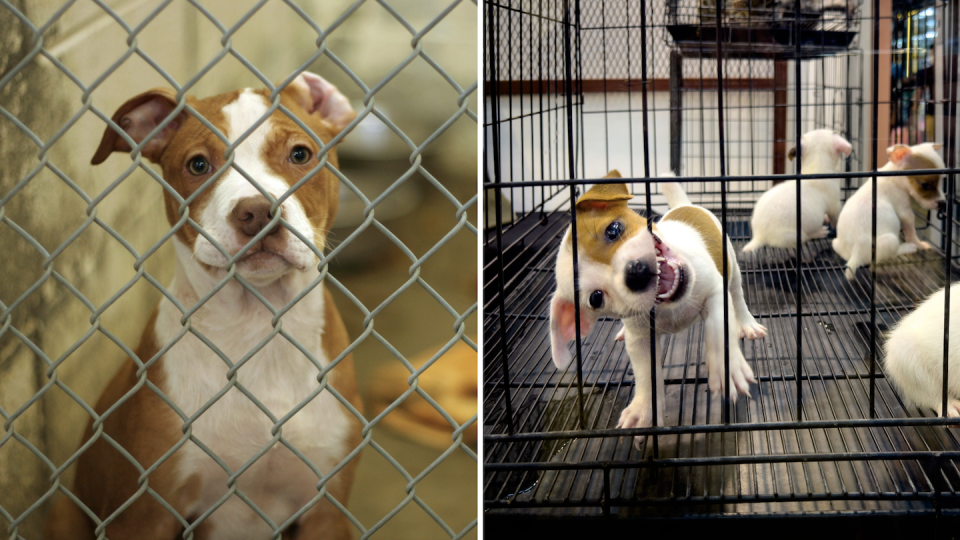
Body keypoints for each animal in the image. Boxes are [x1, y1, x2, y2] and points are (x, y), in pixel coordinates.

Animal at [43, 73, 364, 540]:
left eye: (300, 154)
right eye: (198, 165)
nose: (257, 213)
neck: (256, 327)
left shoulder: (327, 510)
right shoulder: (145, 514)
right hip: (66, 513)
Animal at [548, 171, 764, 446]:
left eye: (613, 230)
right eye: (596, 298)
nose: (635, 273)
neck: (671, 306)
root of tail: (685, 205)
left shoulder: (716, 292)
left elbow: (718, 331)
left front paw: (726, 367)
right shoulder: (640, 340)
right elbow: (646, 375)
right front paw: (644, 411)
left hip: (732, 269)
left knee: (737, 296)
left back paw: (747, 323)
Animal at [832, 141, 944, 280]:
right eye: (925, 185)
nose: (943, 203)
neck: (893, 176)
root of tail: (855, 254)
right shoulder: (905, 211)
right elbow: (911, 233)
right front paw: (919, 245)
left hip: (836, 243)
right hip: (890, 240)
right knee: (885, 256)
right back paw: (906, 248)